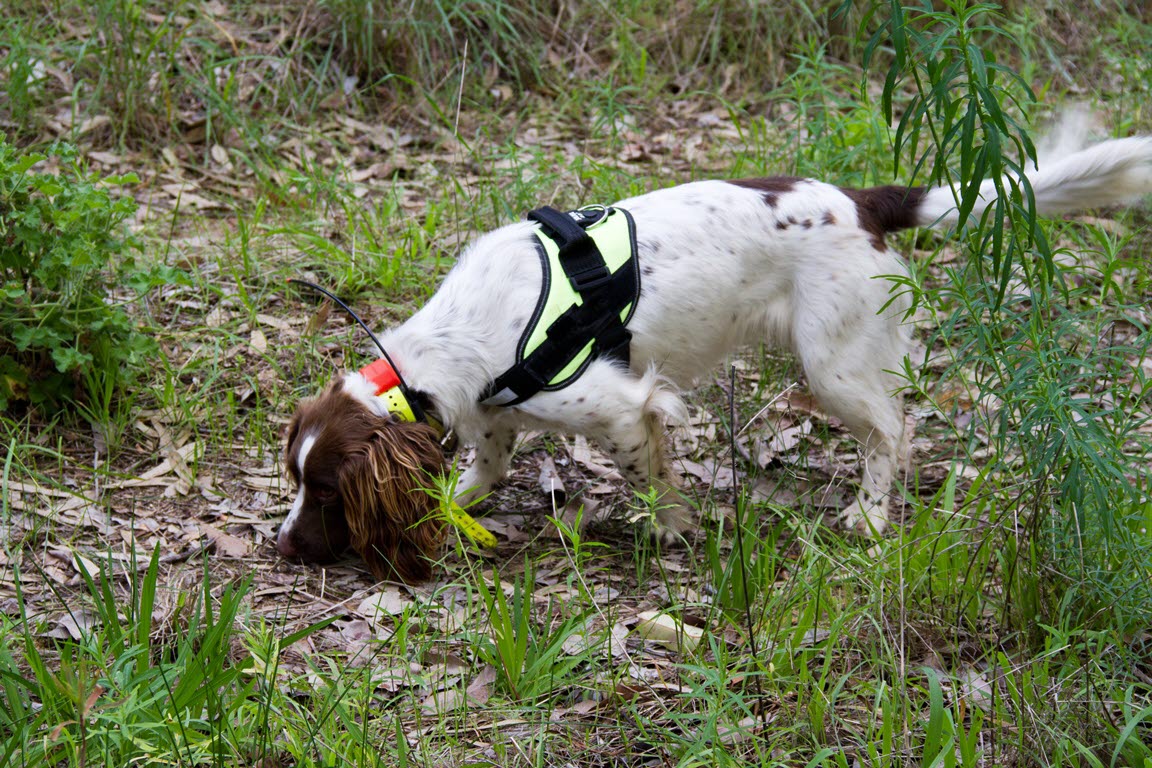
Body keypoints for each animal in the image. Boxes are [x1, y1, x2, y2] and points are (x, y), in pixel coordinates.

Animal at [276, 136, 1152, 582]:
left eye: (326, 493)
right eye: (299, 480)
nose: (279, 546)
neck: (457, 334)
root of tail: (865, 202)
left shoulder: (623, 405)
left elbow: (649, 471)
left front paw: (670, 527)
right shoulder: (494, 410)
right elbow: (484, 467)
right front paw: (453, 503)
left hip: (831, 362)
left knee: (892, 431)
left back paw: (871, 514)